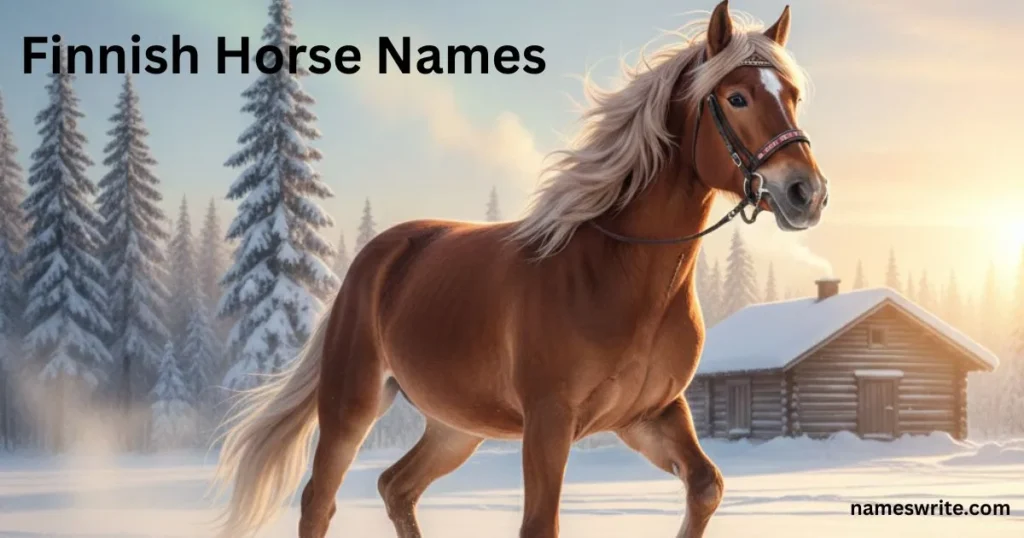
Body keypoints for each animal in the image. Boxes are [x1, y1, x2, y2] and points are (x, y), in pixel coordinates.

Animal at [213, 2, 829, 537]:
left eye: (794, 96)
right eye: (737, 96)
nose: (807, 193)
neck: (623, 276)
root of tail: (375, 257)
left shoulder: (649, 414)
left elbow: (706, 486)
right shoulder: (549, 420)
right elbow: (540, 524)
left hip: (455, 426)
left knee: (396, 486)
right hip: (352, 403)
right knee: (320, 500)